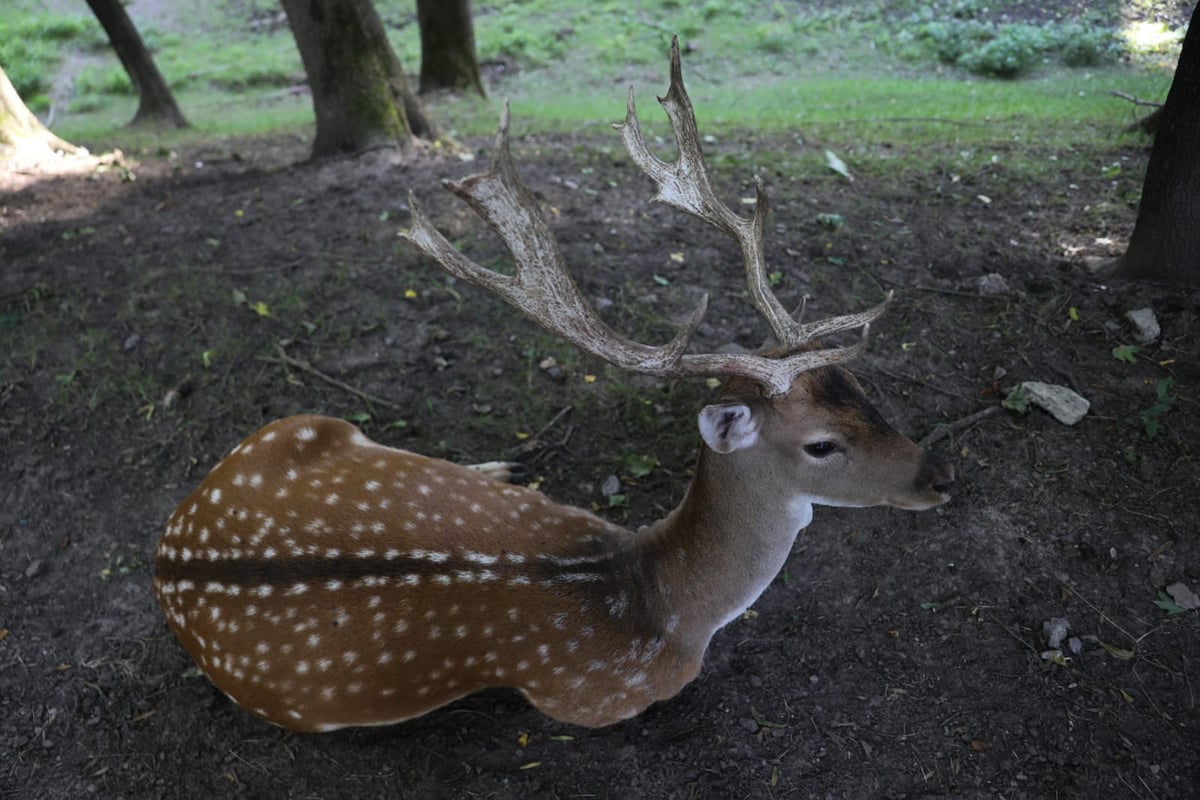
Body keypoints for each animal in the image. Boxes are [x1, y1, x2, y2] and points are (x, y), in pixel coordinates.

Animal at [152, 40, 955, 734]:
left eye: (861, 390)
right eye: (822, 444)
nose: (940, 476)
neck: (656, 604)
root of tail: (167, 554)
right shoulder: (593, 697)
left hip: (299, 423)